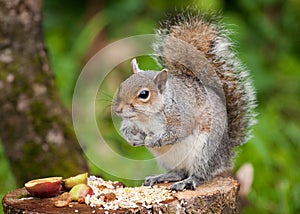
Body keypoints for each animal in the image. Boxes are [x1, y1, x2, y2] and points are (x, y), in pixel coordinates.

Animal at [112, 12, 255, 191]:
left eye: (144, 94)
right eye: (122, 85)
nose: (118, 110)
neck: (146, 117)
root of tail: (225, 153)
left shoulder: (182, 115)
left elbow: (178, 132)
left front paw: (152, 140)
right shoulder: (131, 122)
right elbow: (125, 130)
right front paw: (134, 139)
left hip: (204, 152)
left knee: (199, 175)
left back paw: (188, 181)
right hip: (169, 160)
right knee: (179, 172)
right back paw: (160, 177)